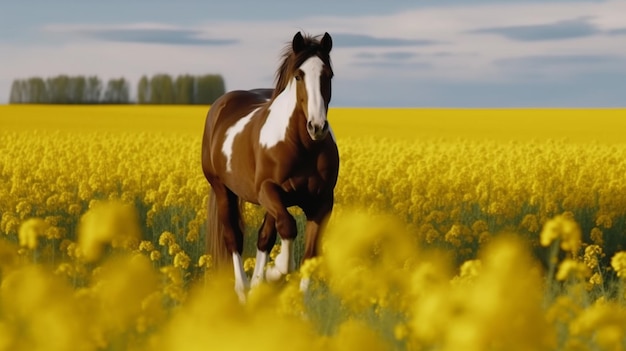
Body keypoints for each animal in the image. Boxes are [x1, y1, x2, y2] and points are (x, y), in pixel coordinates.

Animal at [201, 33, 338, 302]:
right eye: (299, 75)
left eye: (328, 74)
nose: (317, 126)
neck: (303, 146)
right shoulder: (267, 190)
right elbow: (288, 227)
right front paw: (276, 272)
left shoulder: (322, 202)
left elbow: (310, 255)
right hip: (224, 191)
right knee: (234, 238)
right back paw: (244, 291)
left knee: (264, 237)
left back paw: (256, 287)